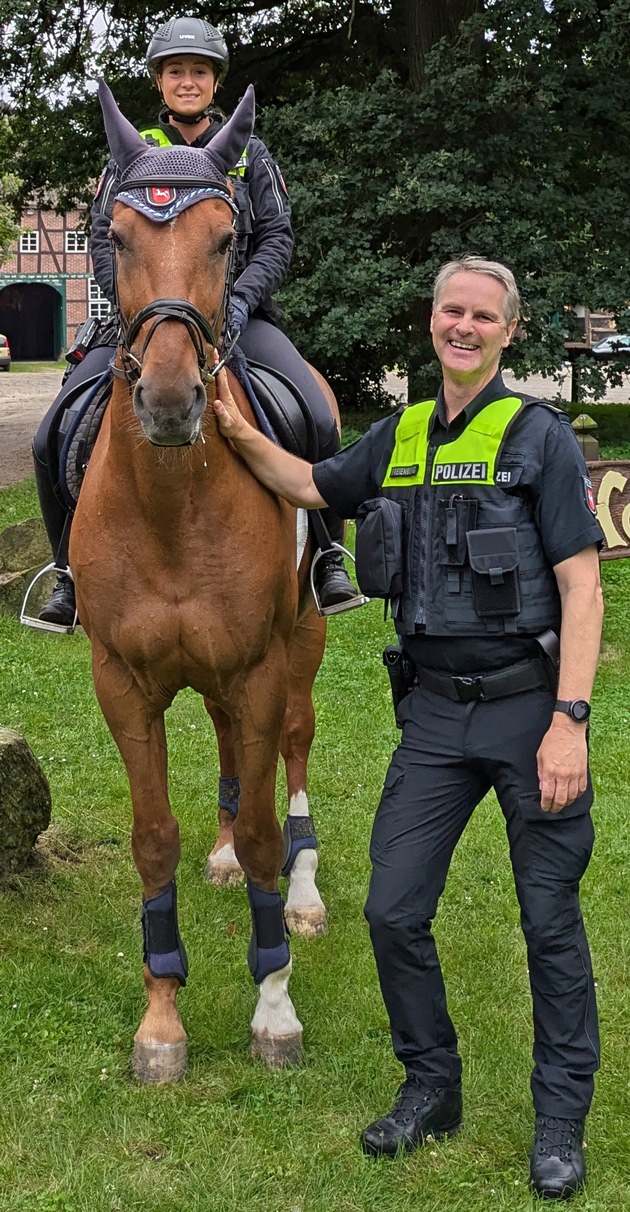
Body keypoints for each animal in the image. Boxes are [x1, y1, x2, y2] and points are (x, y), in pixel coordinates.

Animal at [69, 85, 331, 1085]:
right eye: (112, 236)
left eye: (226, 238)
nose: (175, 401)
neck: (174, 508)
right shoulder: (121, 682)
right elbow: (155, 840)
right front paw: (161, 1019)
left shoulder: (259, 666)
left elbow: (261, 832)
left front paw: (274, 1008)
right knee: (225, 747)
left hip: (301, 641)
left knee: (291, 748)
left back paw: (304, 893)